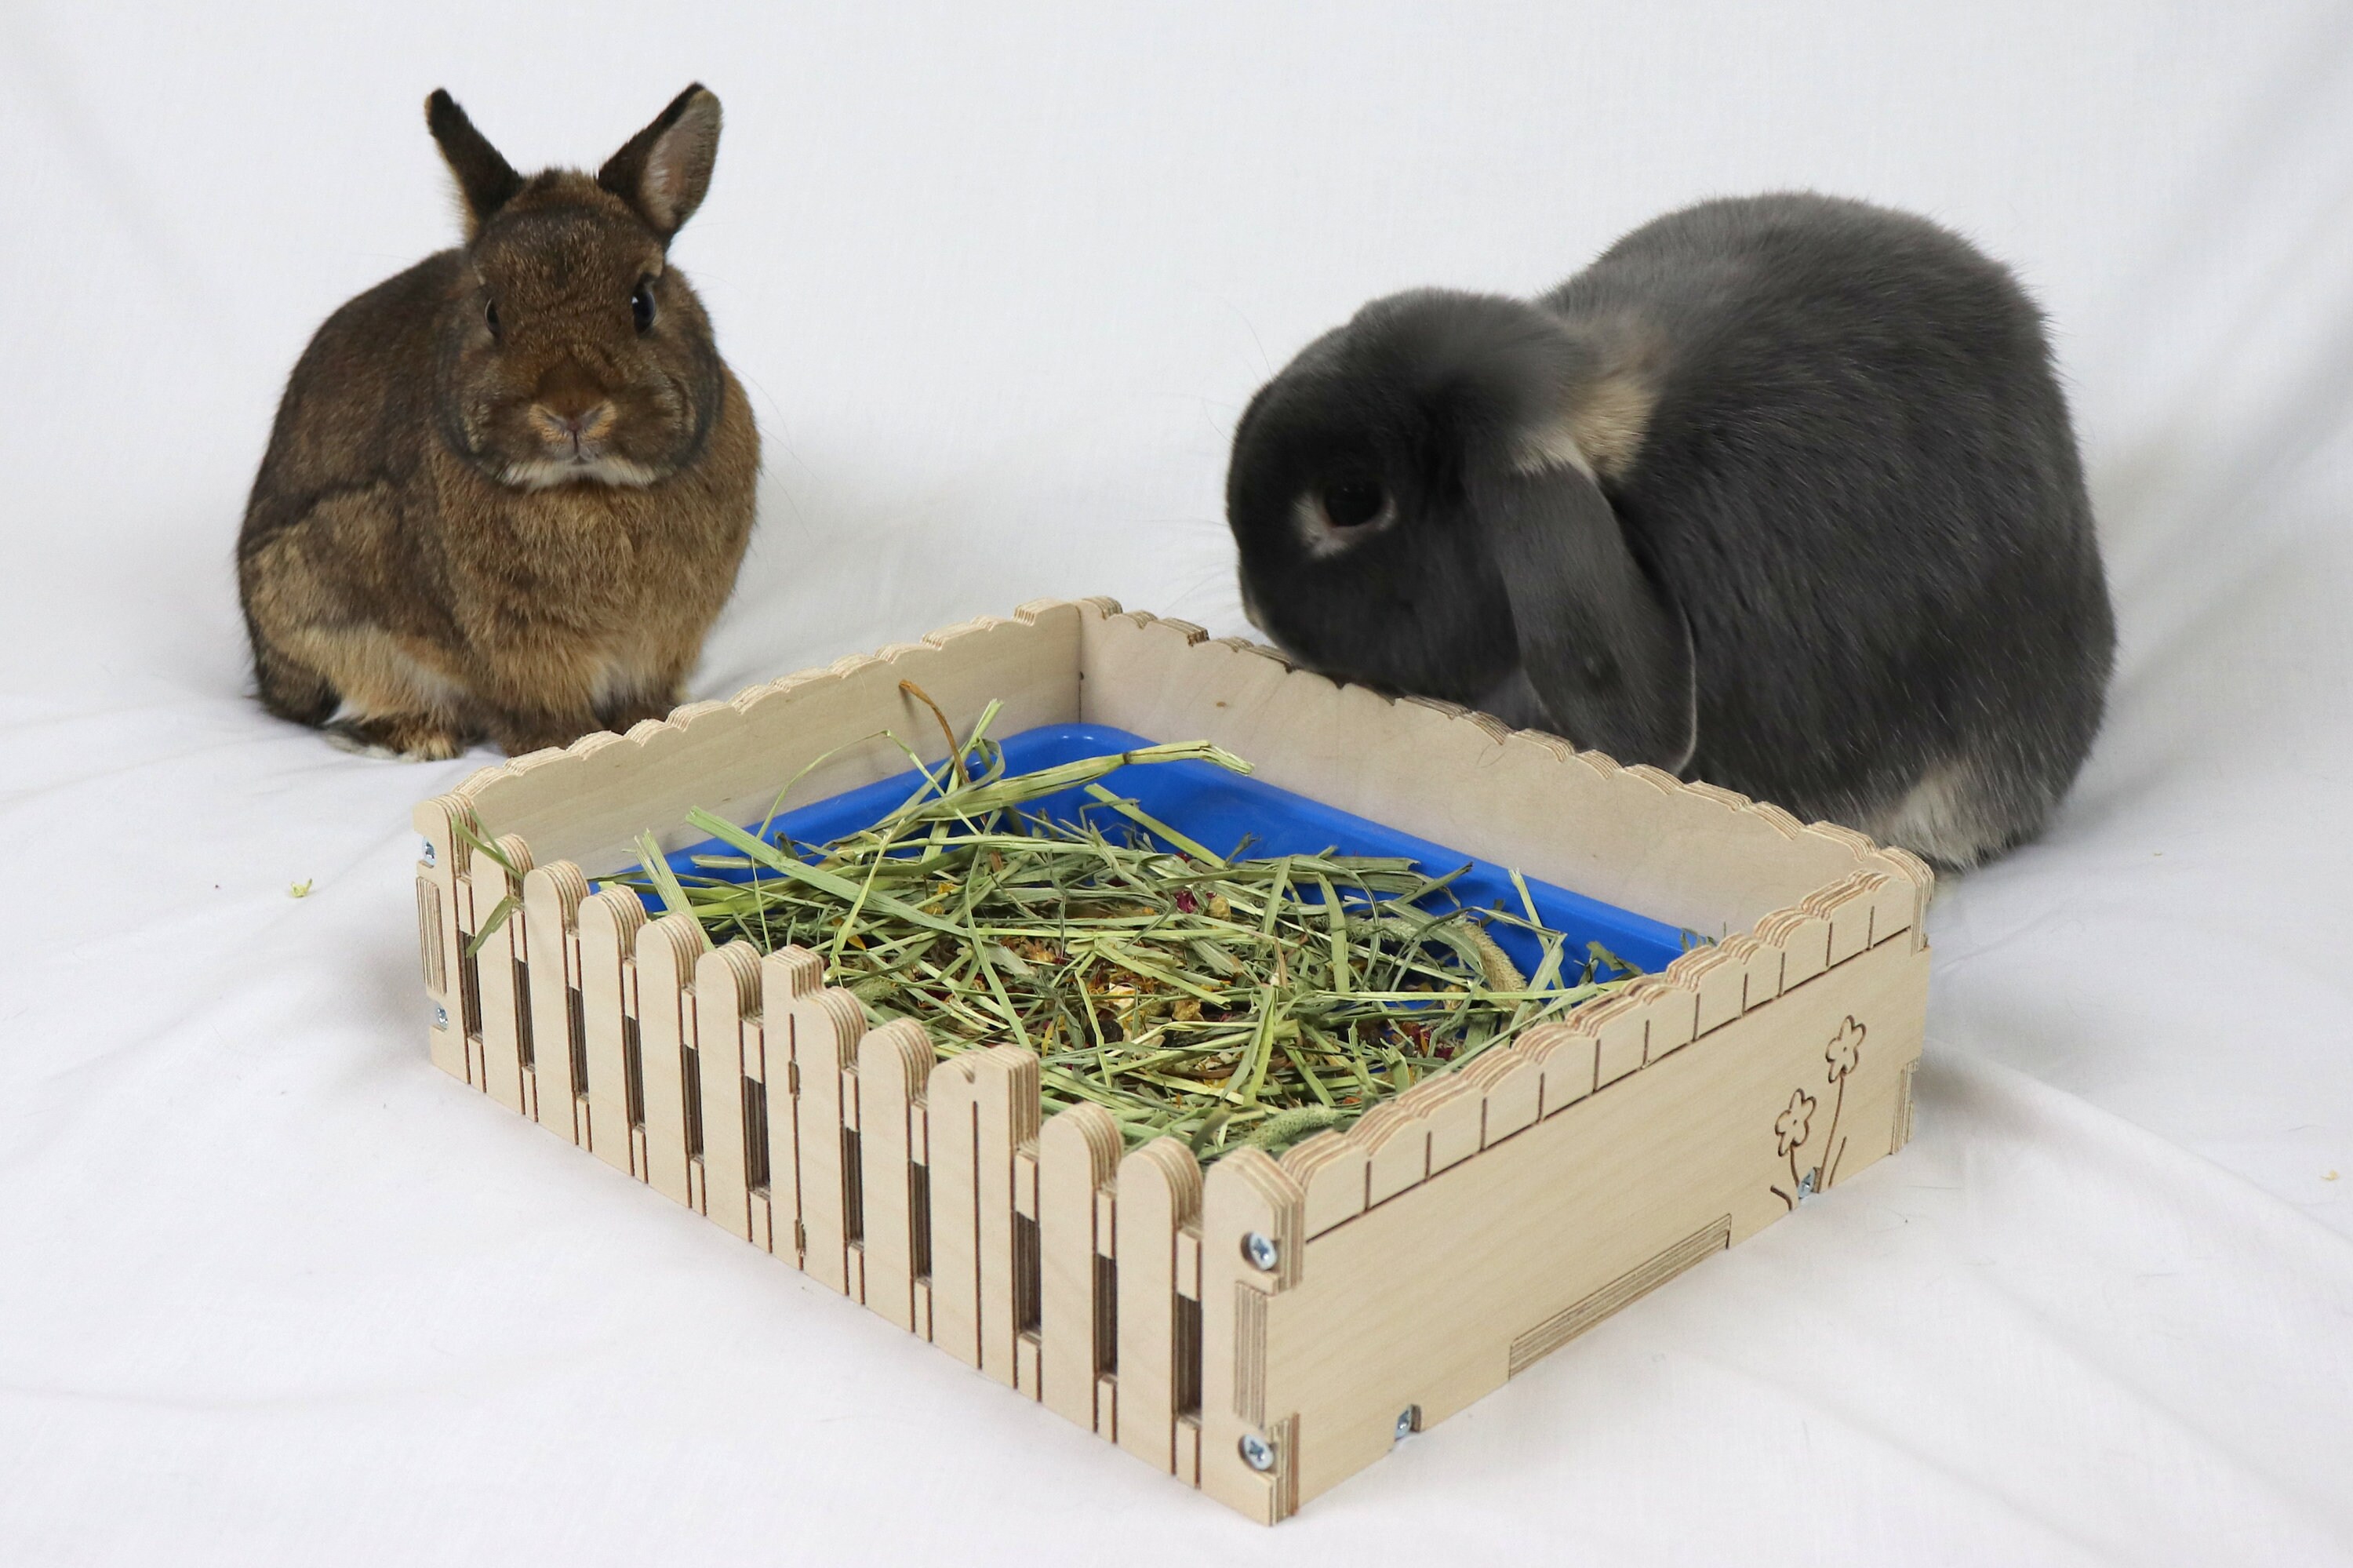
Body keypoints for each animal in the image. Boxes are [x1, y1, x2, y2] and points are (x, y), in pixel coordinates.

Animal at [236, 85, 759, 760]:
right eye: (492, 312)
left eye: (642, 302)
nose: (572, 407)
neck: (587, 489)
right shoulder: (516, 649)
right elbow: (534, 709)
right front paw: (568, 746)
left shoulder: (661, 639)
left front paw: (655, 724)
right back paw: (416, 735)